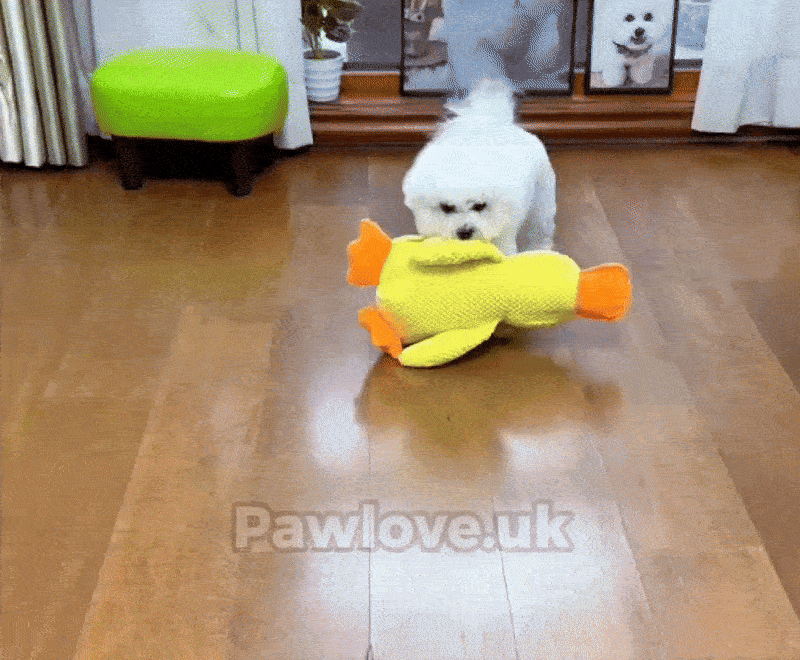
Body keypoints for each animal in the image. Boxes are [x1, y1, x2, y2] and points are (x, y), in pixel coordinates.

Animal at [402, 77, 556, 256]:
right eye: (446, 208)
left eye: (480, 206)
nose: (464, 232)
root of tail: (492, 119)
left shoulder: (504, 231)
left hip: (541, 202)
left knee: (539, 229)